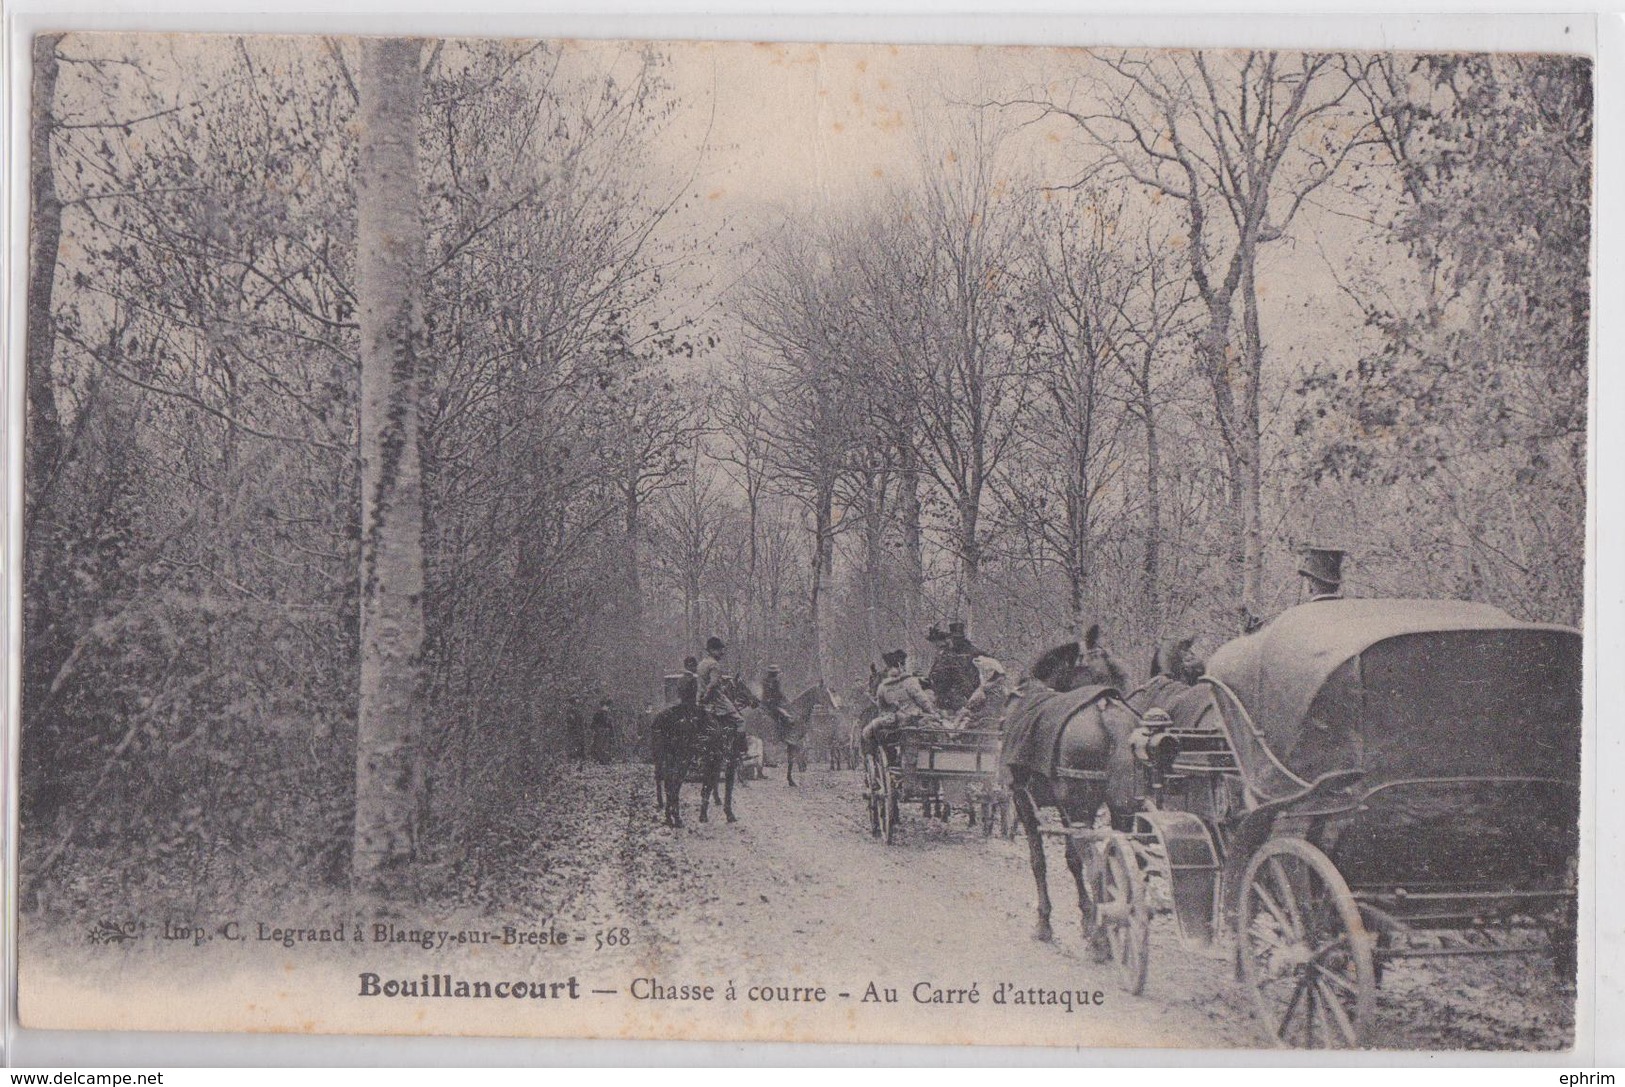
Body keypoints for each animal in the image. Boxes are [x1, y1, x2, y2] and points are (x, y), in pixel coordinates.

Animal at [1001, 627, 1144, 948]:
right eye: (1108, 671)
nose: (1120, 694)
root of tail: (1108, 713)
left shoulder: (1024, 802)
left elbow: (1039, 862)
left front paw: (1044, 923)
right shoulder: (1066, 811)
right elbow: (1071, 860)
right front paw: (1086, 918)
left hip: (1080, 811)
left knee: (1098, 869)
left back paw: (1101, 943)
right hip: (1120, 813)